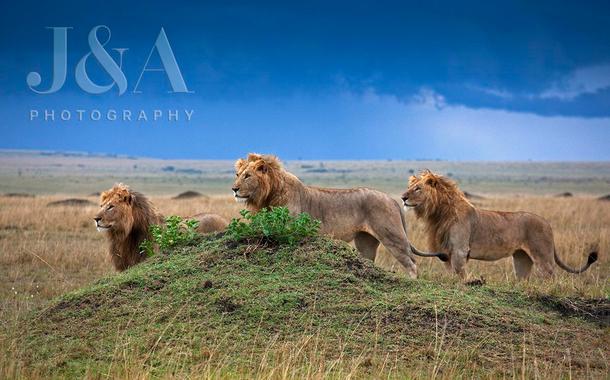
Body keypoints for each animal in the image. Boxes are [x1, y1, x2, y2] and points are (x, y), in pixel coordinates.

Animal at [230, 153, 444, 278]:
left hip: (392, 236)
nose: (233, 189)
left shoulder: (292, 230)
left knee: (412, 264)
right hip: (365, 242)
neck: (269, 194)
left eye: (248, 176)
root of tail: (392, 199)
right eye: (238, 175)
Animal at [402, 169, 596, 280]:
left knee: (550, 275)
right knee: (523, 278)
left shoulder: (460, 250)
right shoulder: (446, 252)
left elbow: (459, 274)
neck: (439, 214)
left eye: (418, 189)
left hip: (543, 255)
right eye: (410, 187)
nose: (403, 197)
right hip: (521, 258)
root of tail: (547, 223)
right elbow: (451, 273)